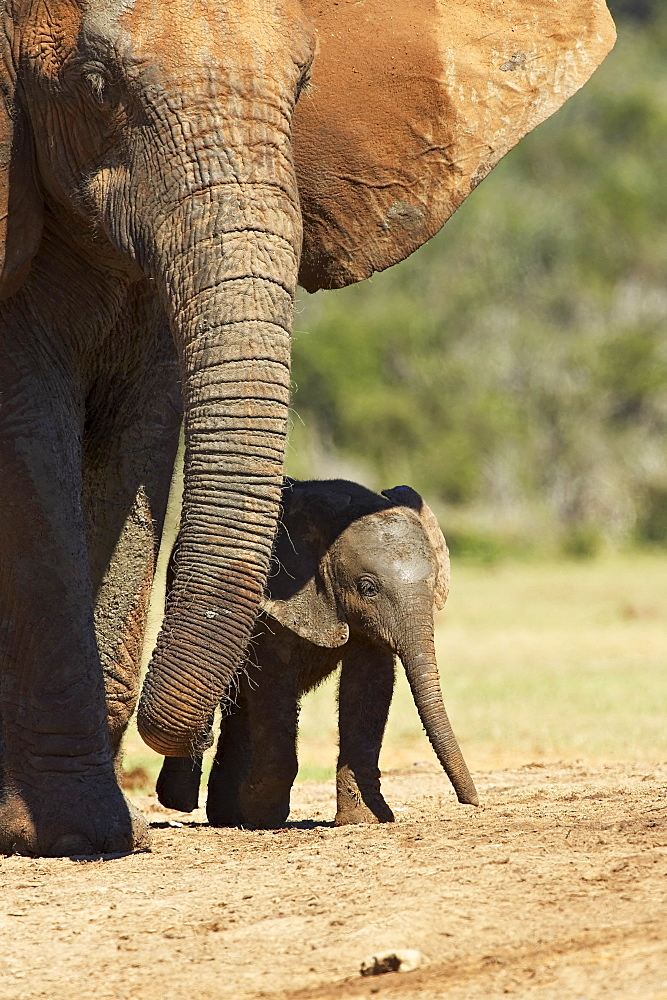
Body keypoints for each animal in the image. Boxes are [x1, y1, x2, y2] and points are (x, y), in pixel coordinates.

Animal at [159, 480, 478, 824]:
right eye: (368, 588)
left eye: (433, 583)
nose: (472, 802)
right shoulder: (274, 605)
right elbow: (273, 685)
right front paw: (263, 817)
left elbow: (368, 685)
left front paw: (362, 819)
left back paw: (228, 815)